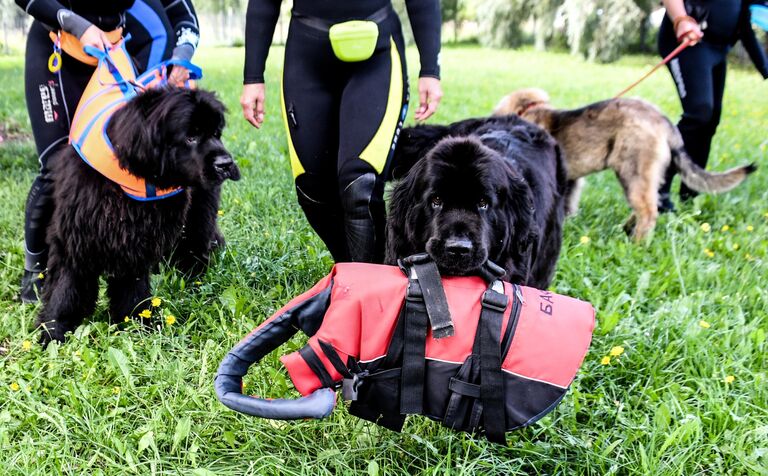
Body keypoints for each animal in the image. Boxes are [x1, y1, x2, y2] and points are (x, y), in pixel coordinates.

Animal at [36, 87, 238, 344]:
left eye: (216, 134)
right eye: (190, 137)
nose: (226, 163)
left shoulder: (135, 243)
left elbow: (132, 290)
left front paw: (136, 325)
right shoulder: (75, 237)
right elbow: (65, 290)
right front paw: (52, 334)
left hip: (199, 213)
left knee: (196, 242)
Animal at [492, 87, 756, 240]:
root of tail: (664, 122)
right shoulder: (571, 181)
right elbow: (568, 203)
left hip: (632, 169)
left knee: (648, 210)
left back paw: (637, 243)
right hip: (647, 174)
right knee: (652, 203)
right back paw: (628, 229)